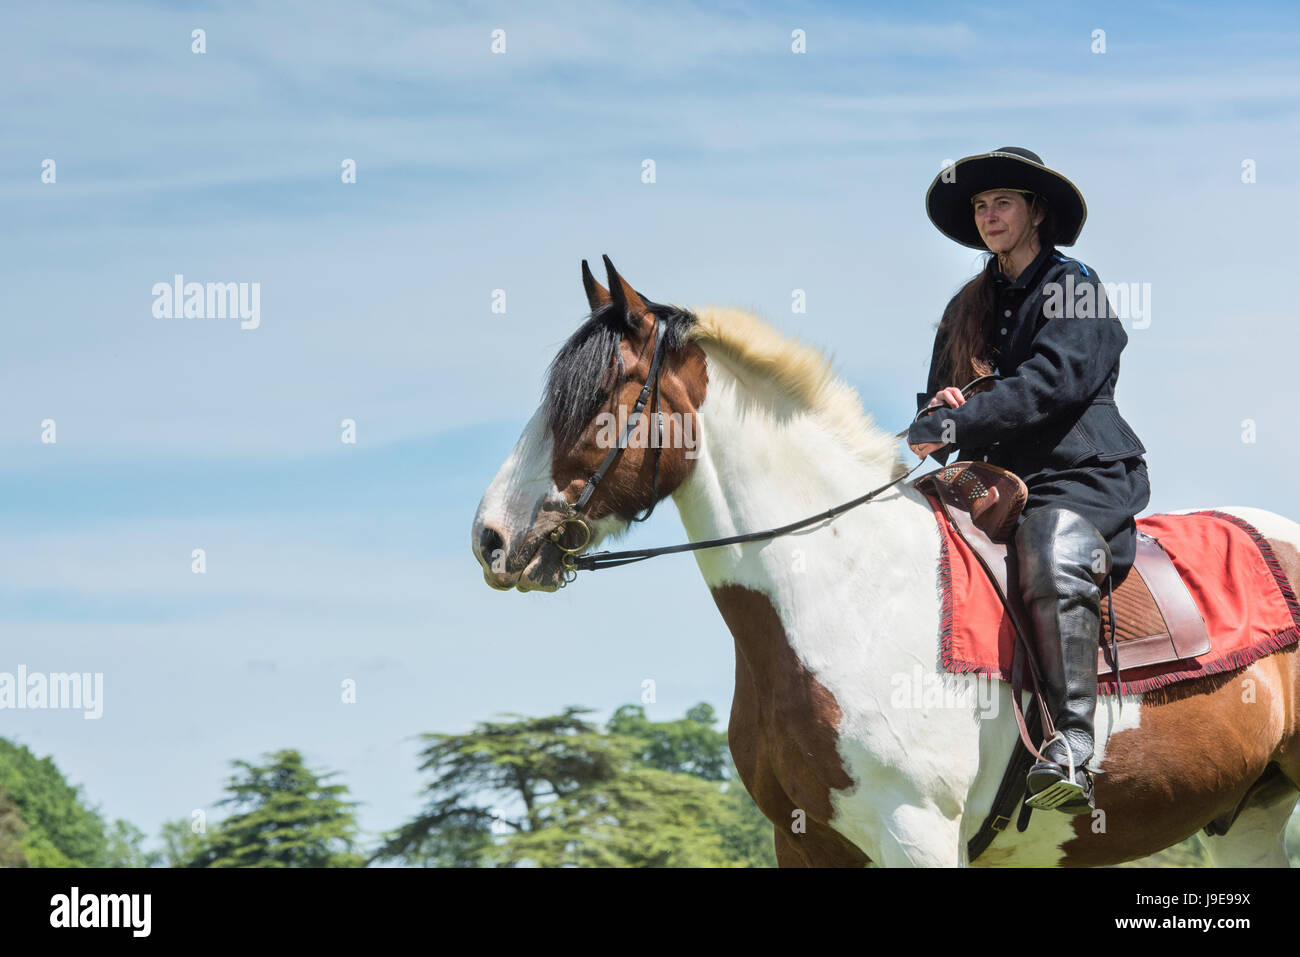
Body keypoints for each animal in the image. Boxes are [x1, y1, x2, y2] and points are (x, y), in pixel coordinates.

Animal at [467, 254, 1300, 868]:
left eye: (598, 398)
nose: (492, 539)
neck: (848, 592)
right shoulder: (805, 842)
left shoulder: (915, 833)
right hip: (1249, 818)